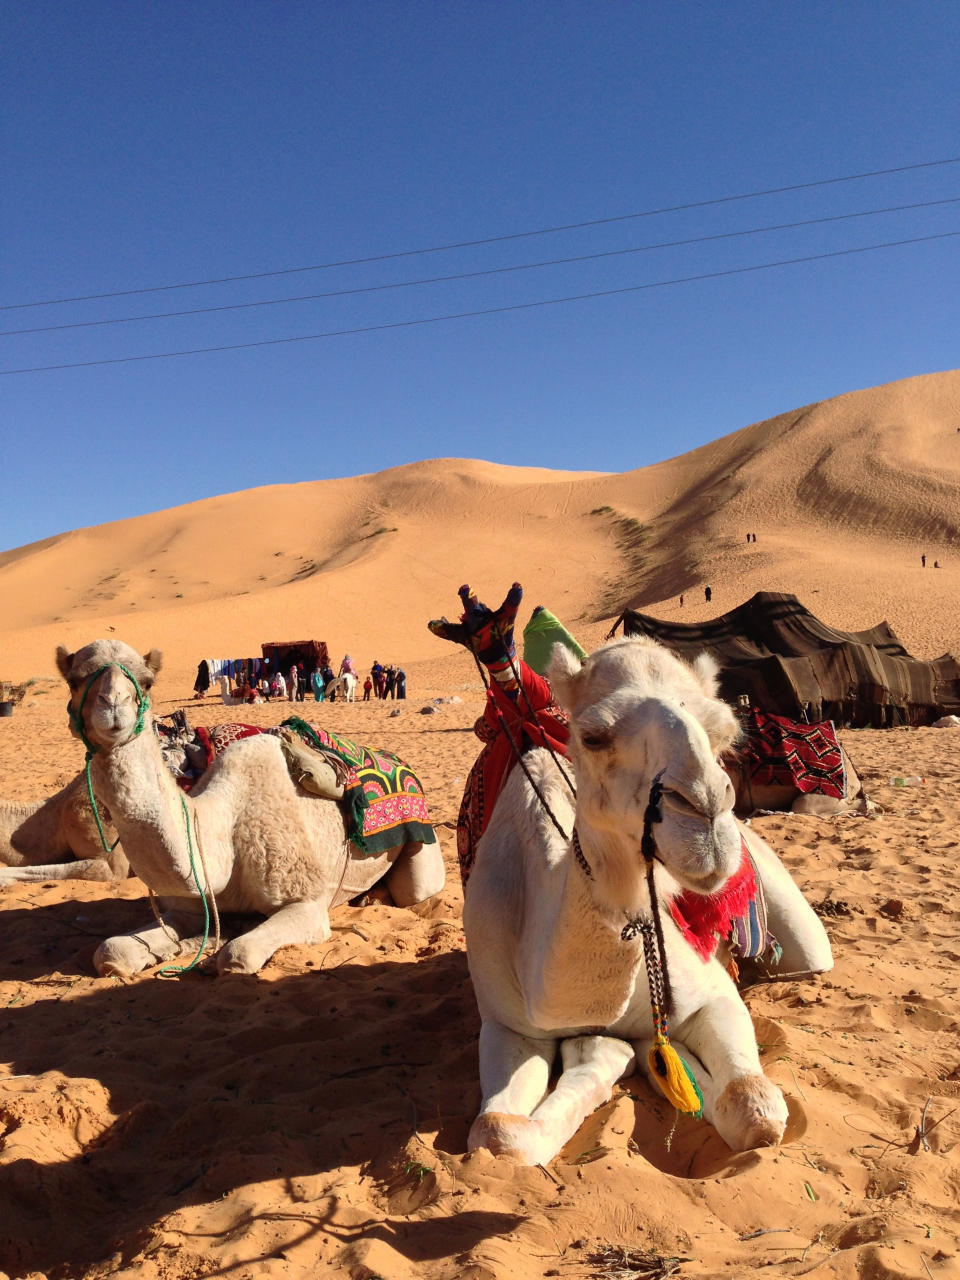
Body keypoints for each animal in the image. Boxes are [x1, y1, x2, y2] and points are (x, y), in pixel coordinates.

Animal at [58, 634, 450, 972]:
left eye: (147, 681)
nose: (113, 707)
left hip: (422, 847)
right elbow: (110, 951)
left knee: (415, 890)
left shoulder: (306, 904)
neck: (224, 830)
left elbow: (238, 955)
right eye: (74, 680)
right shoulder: (190, 907)